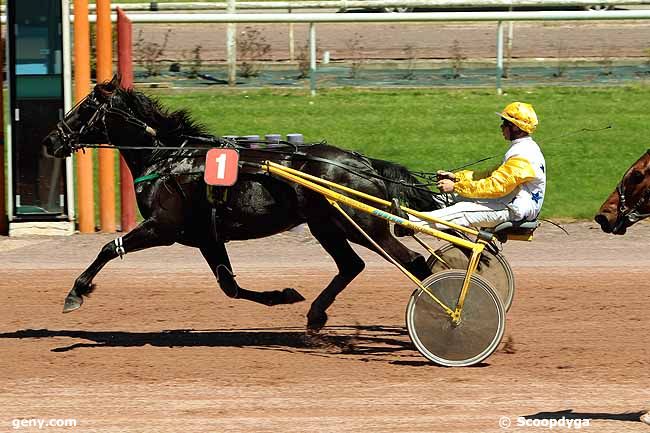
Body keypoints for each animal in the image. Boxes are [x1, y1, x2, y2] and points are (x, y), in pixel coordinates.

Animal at [41, 77, 436, 328]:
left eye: (84, 109)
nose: (50, 140)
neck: (167, 157)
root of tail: (364, 162)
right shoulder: (207, 236)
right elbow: (229, 286)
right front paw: (283, 295)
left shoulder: (163, 227)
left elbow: (109, 248)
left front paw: (75, 293)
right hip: (328, 226)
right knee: (352, 265)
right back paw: (315, 314)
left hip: (362, 225)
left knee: (414, 262)